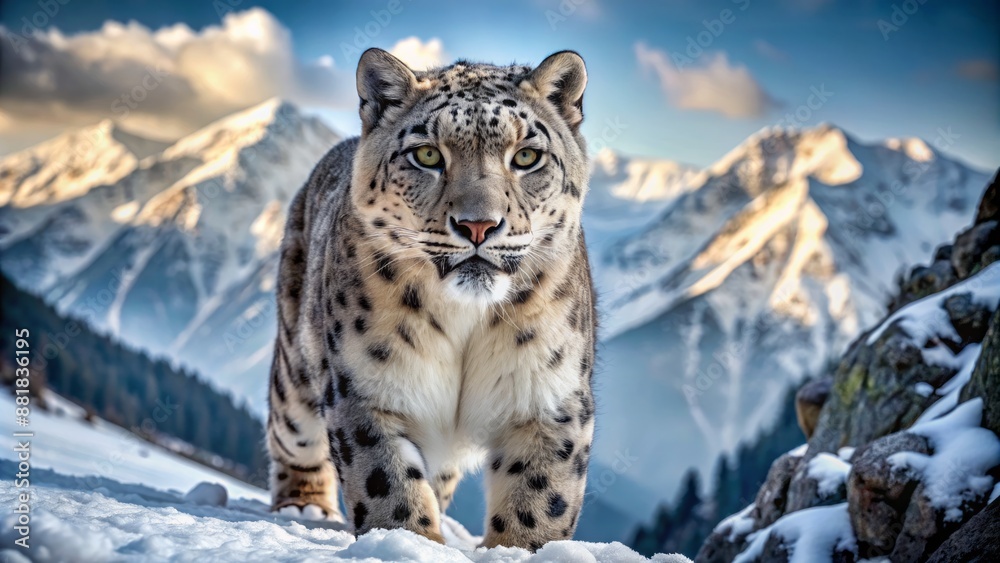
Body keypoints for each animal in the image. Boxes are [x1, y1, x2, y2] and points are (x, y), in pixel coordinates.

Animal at [265, 47, 596, 551]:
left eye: (526, 156)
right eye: (427, 154)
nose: (479, 225)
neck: (467, 321)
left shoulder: (550, 397)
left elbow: (542, 496)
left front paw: (517, 551)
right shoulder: (367, 387)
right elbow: (388, 482)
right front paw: (411, 544)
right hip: (296, 372)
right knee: (292, 435)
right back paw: (303, 507)